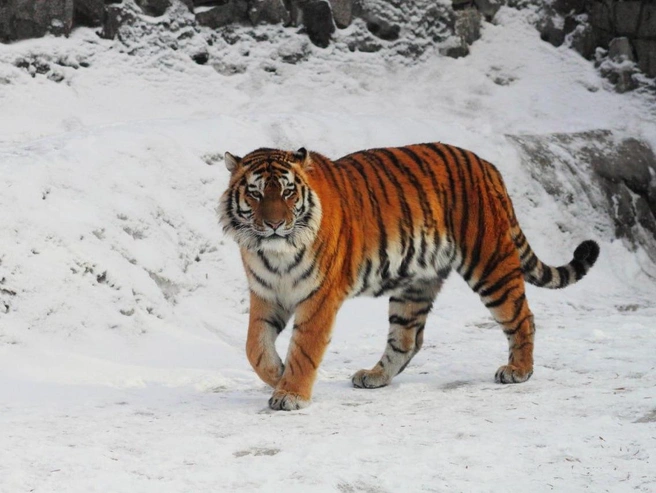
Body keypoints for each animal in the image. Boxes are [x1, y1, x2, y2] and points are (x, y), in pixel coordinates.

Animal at [218, 144, 599, 411]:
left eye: (287, 192)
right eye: (255, 193)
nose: (274, 224)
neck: (274, 253)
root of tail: (487, 165)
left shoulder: (319, 297)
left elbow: (304, 348)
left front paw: (291, 392)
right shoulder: (266, 293)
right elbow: (255, 347)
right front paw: (277, 375)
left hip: (490, 263)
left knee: (522, 317)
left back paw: (518, 370)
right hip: (415, 284)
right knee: (407, 338)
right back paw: (374, 376)